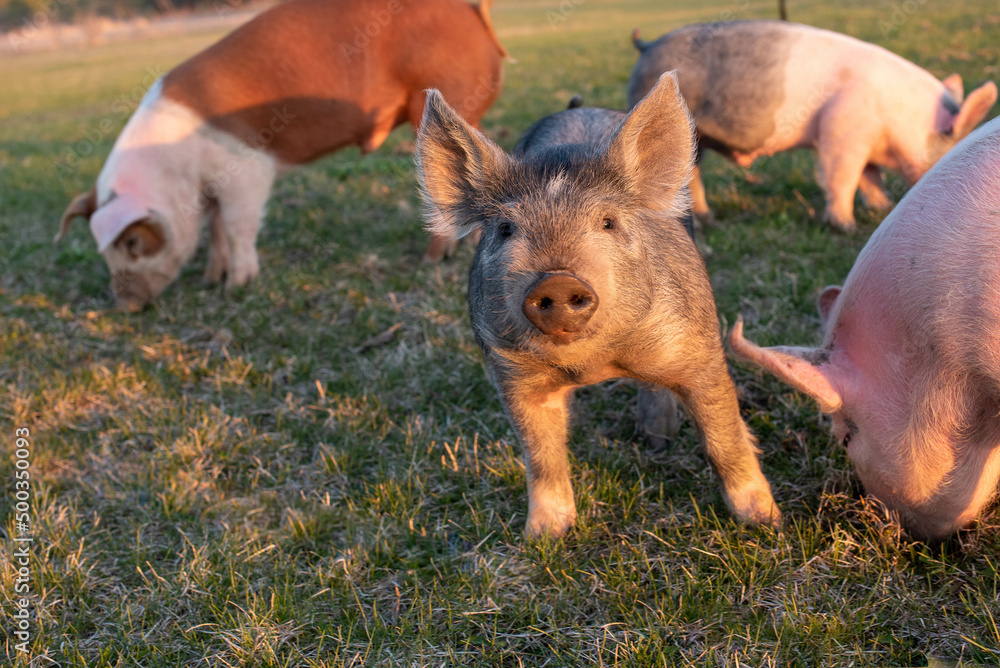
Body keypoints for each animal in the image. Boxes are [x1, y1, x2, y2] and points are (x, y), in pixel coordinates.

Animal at [54, 0, 508, 308]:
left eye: (132, 244)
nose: (125, 306)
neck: (176, 171)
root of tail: (470, 12)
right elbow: (216, 229)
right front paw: (210, 280)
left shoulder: (246, 169)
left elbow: (237, 226)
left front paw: (237, 286)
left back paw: (433, 259)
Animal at [414, 73, 780, 540]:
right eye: (505, 229)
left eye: (608, 222)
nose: (557, 280)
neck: (594, 366)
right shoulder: (511, 373)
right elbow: (540, 454)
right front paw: (544, 537)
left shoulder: (699, 347)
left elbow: (723, 436)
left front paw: (766, 521)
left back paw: (657, 440)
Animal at [628, 20, 996, 232]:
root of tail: (647, 46)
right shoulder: (842, 129)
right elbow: (843, 177)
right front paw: (846, 227)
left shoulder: (864, 140)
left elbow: (870, 176)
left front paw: (882, 208)